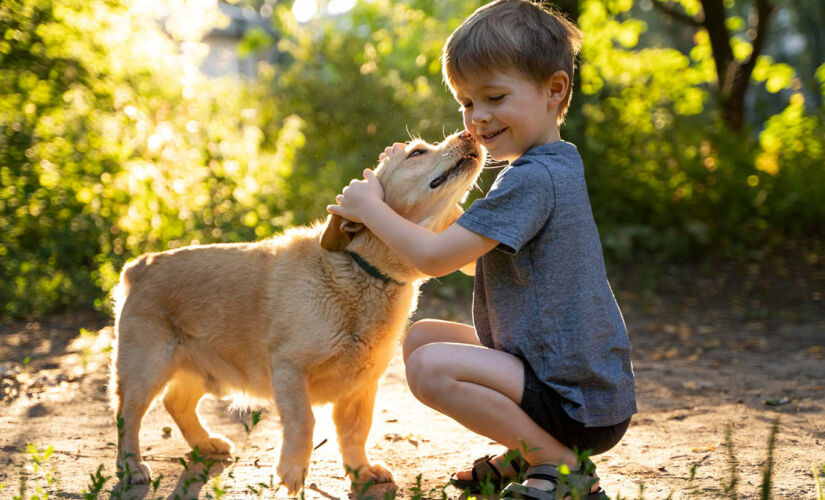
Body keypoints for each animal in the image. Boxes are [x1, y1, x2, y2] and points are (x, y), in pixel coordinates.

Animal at [109, 131, 482, 494]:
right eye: (417, 152)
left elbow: (356, 432)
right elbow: (305, 422)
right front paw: (292, 471)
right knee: (127, 417)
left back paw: (206, 443)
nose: (469, 133)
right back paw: (131, 467)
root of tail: (140, 265)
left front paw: (360, 471)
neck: (362, 271)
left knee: (177, 404)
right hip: (145, 371)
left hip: (201, 371)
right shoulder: (290, 370)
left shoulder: (362, 385)